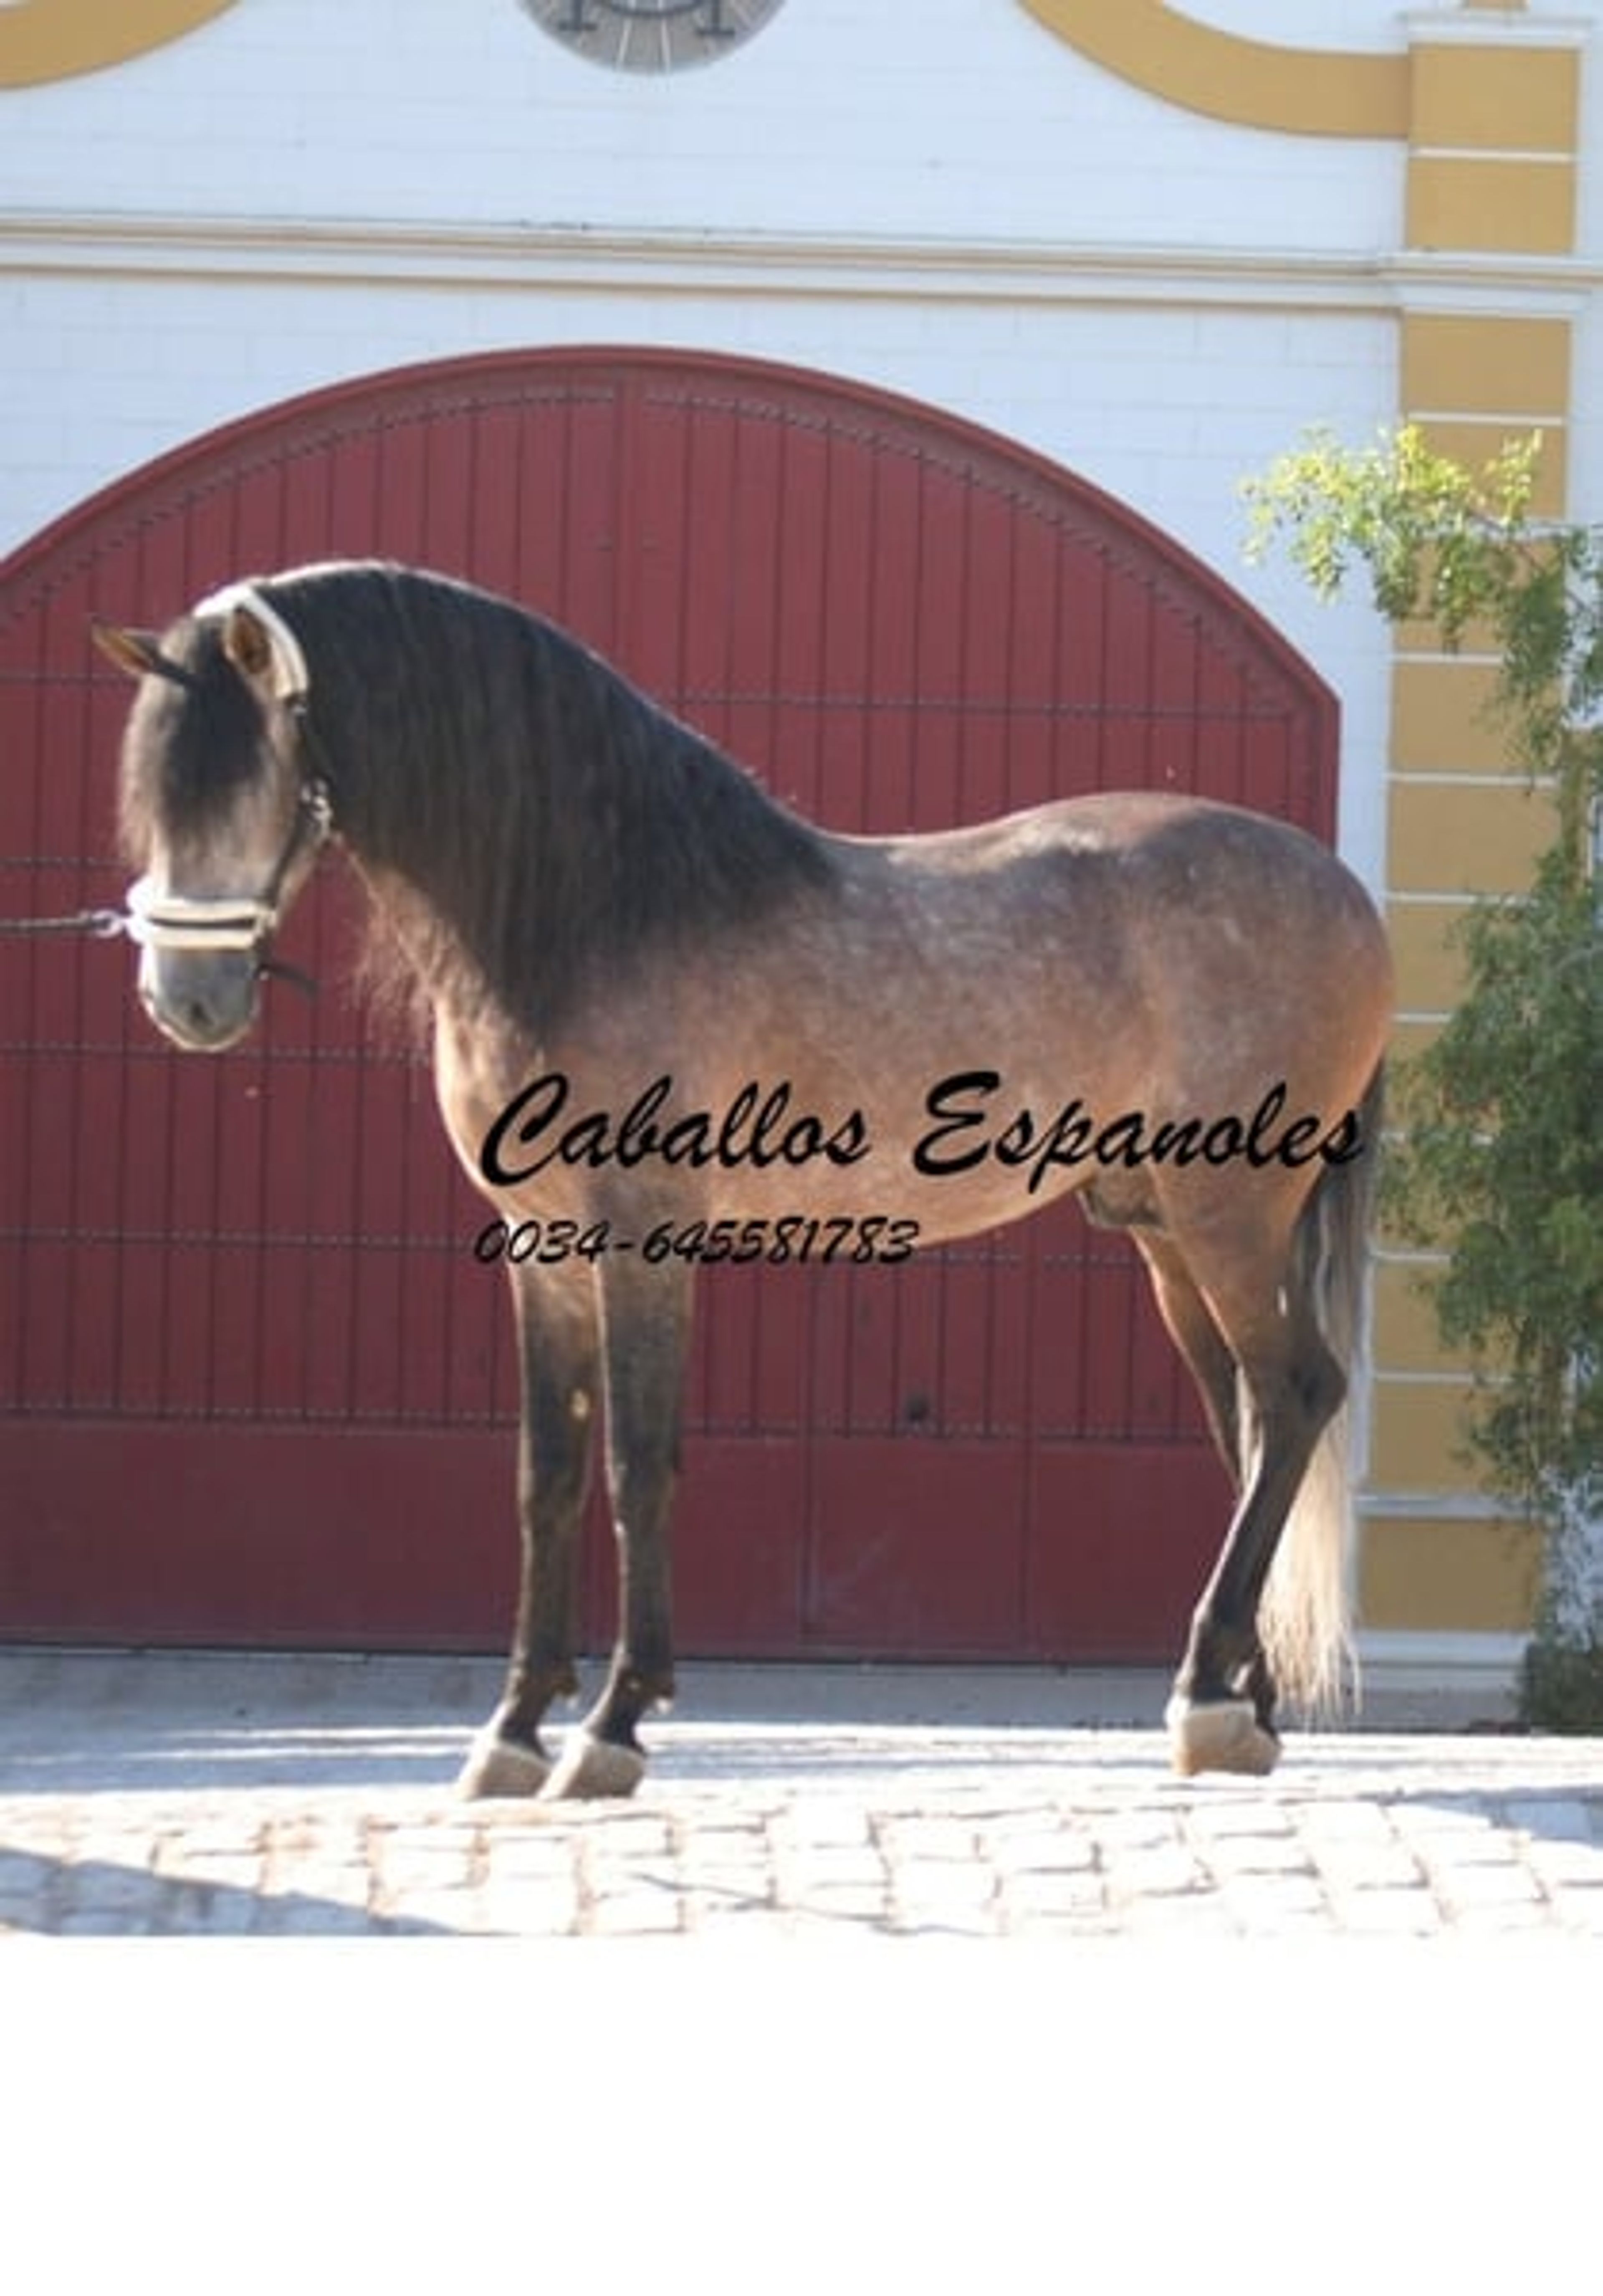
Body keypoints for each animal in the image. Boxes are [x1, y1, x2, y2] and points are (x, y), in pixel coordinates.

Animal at [96, 558, 1392, 1795]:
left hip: (1228, 1220)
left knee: (1293, 1395)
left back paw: (1207, 1689)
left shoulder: (640, 1236)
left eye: (253, 772)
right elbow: (547, 1473)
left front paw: (612, 1725)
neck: (597, 912)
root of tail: (1347, 897)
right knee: (1247, 1416)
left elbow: (638, 1462)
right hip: (1168, 1234)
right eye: (156, 788)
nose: (186, 1002)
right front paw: (512, 1730)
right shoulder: (541, 1250)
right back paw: (1234, 1701)